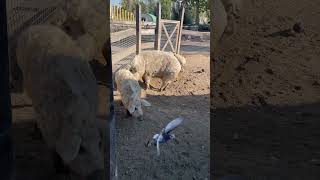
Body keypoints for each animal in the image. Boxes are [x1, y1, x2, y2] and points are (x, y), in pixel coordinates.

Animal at [15, 24, 105, 179]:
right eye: (81, 149)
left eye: (99, 144)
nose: (99, 173)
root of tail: (36, 26)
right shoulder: (47, 125)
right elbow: (53, 150)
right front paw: (60, 170)